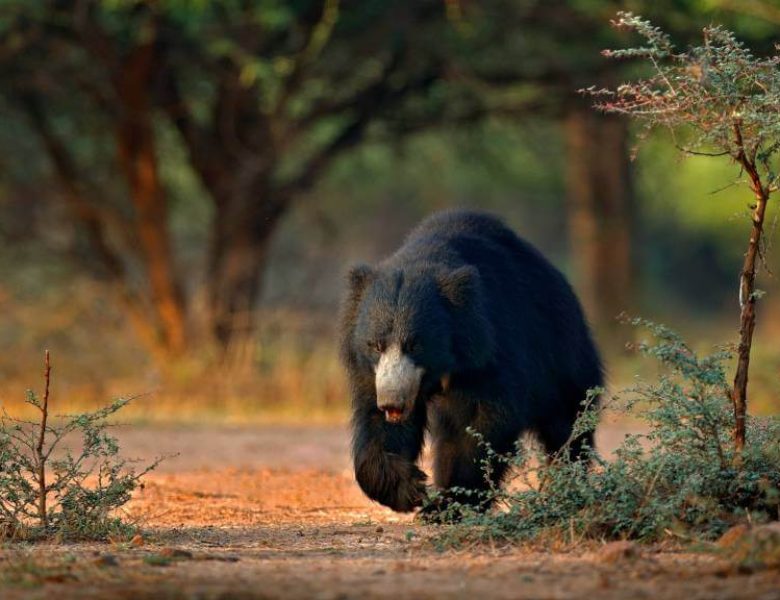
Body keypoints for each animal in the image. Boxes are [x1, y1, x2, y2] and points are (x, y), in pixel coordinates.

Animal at [338, 210, 600, 510]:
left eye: (415, 345)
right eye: (376, 345)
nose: (392, 402)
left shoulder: (491, 350)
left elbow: (480, 425)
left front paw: (447, 503)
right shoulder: (372, 372)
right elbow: (376, 422)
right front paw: (409, 487)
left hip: (562, 354)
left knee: (567, 423)